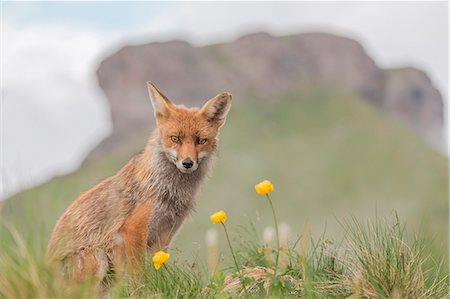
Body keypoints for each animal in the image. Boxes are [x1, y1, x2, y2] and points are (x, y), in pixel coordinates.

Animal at [46, 82, 232, 288]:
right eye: (175, 138)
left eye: (201, 141)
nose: (187, 163)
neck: (169, 191)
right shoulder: (134, 231)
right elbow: (139, 277)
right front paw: (143, 292)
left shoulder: (164, 237)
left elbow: (158, 271)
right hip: (97, 262)